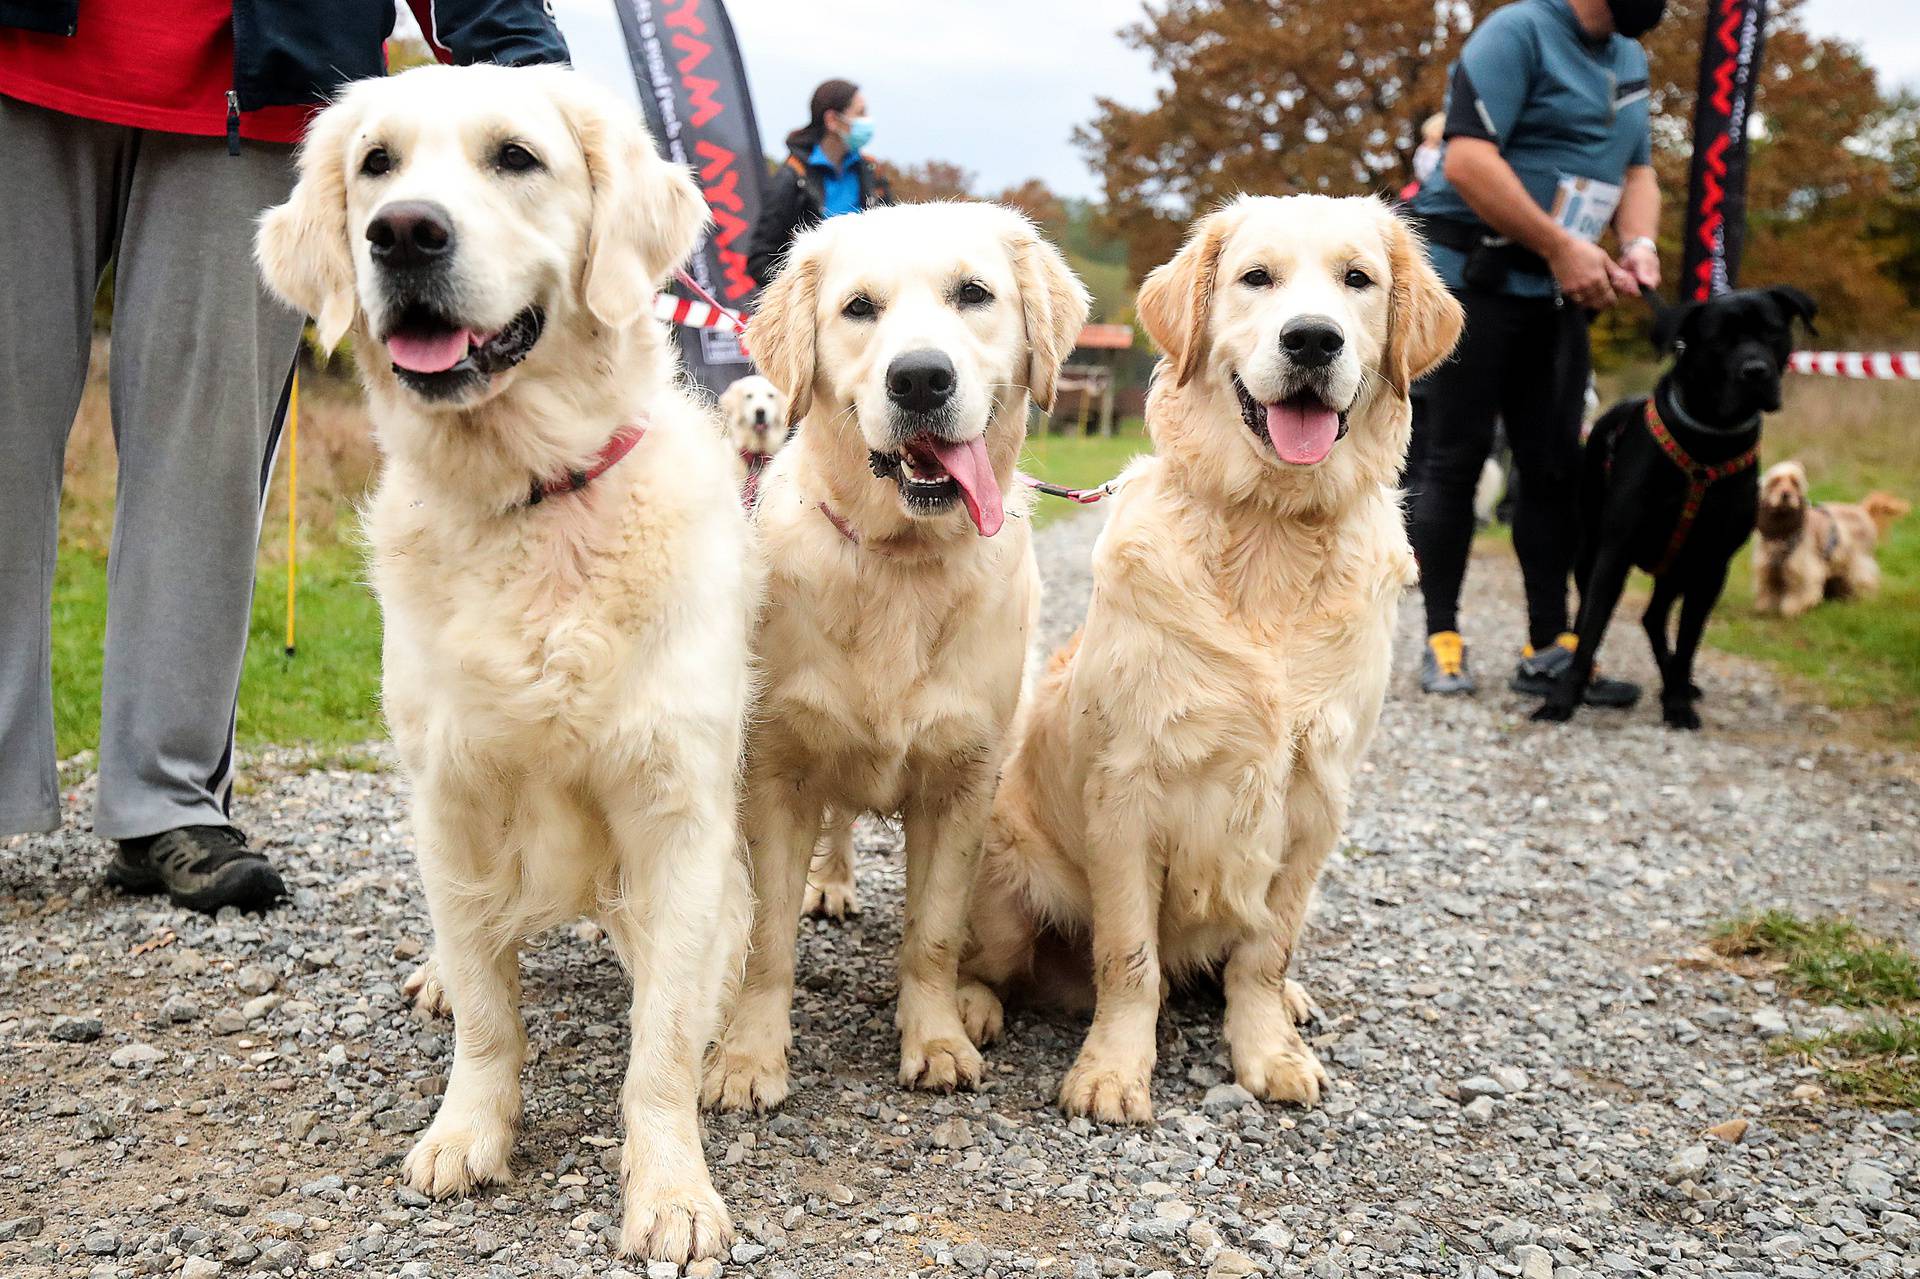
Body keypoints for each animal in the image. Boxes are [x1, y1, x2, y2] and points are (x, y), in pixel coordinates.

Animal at [1536, 286, 1820, 725]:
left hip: (1678, 568)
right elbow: (1591, 630)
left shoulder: (1711, 564)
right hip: (1591, 553)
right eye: (1720, 339)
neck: (1709, 442)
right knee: (1597, 615)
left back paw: (1677, 682)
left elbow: (1689, 640)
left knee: (1654, 617)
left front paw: (1678, 703)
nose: (1755, 371)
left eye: (1772, 331)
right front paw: (1563, 698)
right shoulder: (1614, 554)